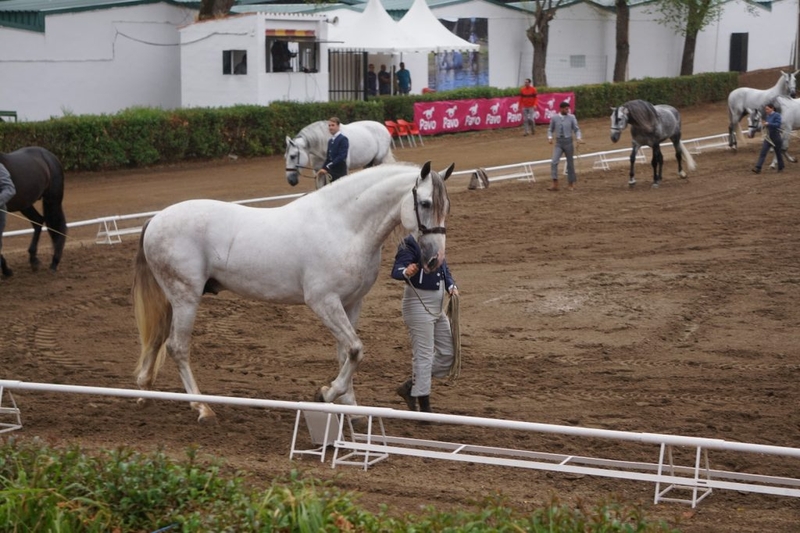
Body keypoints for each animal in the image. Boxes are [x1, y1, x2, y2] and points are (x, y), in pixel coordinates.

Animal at [0, 148, 67, 276]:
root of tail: (49, 156)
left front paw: (7, 271)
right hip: (25, 204)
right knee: (38, 221)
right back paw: (34, 260)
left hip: (52, 200)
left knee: (58, 226)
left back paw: (54, 262)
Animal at [134, 160, 454, 422]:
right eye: (426, 203)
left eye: (446, 206)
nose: (435, 260)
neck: (343, 226)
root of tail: (155, 219)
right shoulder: (324, 302)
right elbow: (355, 349)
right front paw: (326, 394)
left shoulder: (351, 303)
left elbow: (345, 354)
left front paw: (351, 411)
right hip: (186, 297)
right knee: (177, 347)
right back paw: (202, 408)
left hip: (172, 299)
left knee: (157, 339)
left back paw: (145, 394)